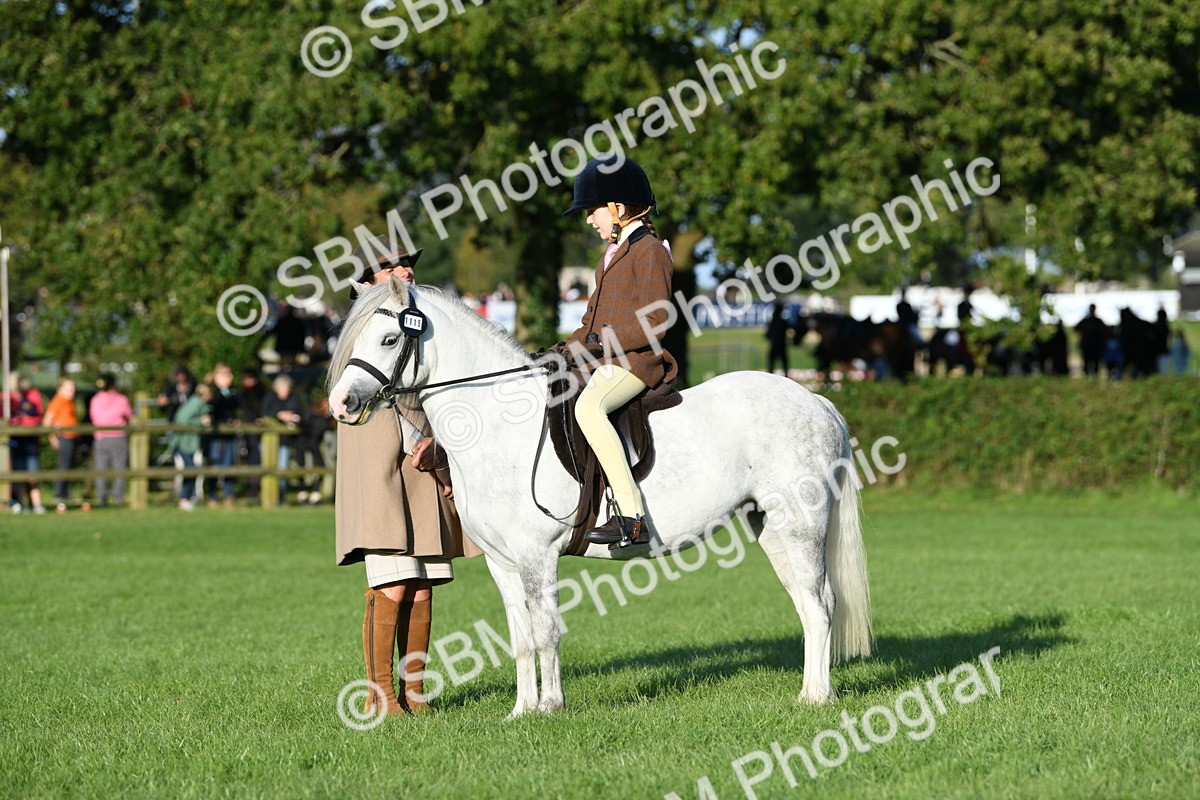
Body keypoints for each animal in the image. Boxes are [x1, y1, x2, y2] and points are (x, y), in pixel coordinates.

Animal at [326, 278, 873, 717]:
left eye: (389, 338)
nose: (341, 404)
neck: (499, 422)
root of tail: (814, 398)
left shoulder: (536, 555)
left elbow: (545, 630)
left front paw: (550, 707)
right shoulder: (502, 563)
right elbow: (520, 639)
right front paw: (521, 712)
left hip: (801, 525)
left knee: (820, 604)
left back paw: (818, 698)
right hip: (772, 527)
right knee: (805, 603)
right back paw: (806, 692)